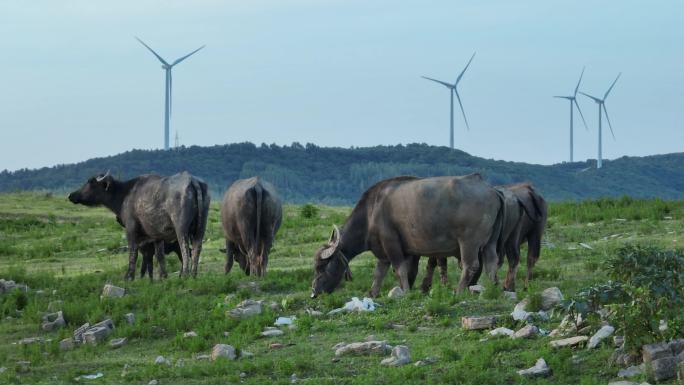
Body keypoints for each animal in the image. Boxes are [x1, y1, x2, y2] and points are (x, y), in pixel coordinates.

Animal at [69, 170, 210, 278]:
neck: (125, 194)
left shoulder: (131, 229)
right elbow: (160, 257)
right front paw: (162, 277)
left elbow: (133, 252)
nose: (71, 195)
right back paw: (193, 274)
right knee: (197, 248)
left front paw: (129, 276)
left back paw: (184, 275)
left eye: (91, 182)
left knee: (184, 248)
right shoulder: (157, 235)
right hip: (201, 228)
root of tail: (193, 180)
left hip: (181, 228)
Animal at [312, 174, 504, 296]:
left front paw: (404, 291)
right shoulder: (383, 252)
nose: (314, 292)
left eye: (322, 266)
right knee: (491, 262)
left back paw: (459, 290)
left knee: (470, 265)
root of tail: (491, 190)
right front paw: (373, 293)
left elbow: (400, 269)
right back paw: (492, 288)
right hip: (490, 242)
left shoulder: (392, 243)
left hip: (468, 242)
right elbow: (379, 273)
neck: (371, 212)